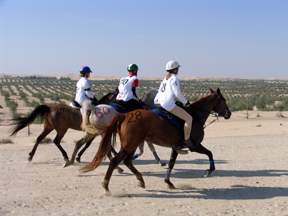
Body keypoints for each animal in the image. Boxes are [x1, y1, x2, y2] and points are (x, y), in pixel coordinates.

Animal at [80, 88, 232, 194]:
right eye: (223, 99)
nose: (229, 113)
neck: (195, 116)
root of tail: (124, 115)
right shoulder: (195, 145)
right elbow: (210, 153)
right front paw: (209, 170)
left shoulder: (176, 147)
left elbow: (171, 163)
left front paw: (168, 182)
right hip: (129, 144)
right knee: (115, 160)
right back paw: (106, 186)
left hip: (131, 144)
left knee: (126, 160)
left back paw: (140, 179)